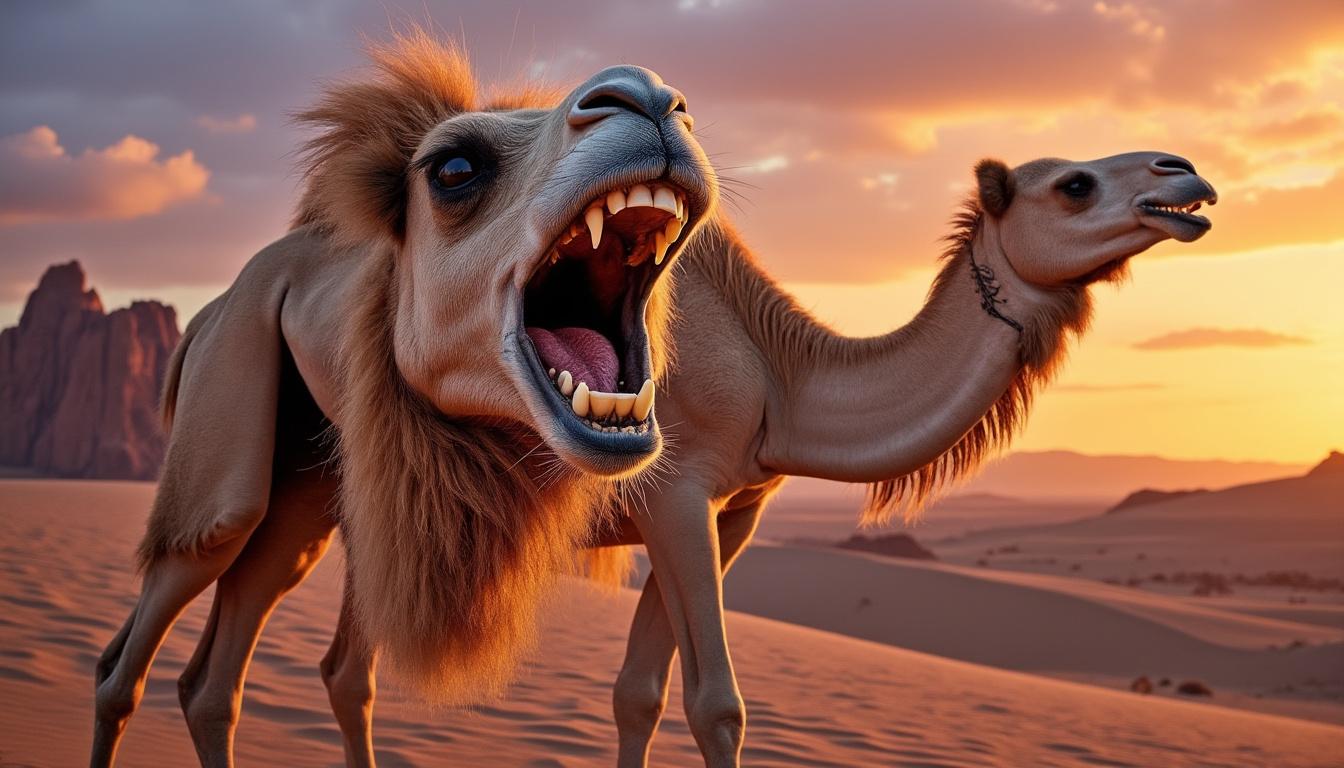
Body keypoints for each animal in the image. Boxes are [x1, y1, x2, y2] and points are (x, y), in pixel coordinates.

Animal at [88, 31, 717, 767]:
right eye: (454, 168)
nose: (649, 97)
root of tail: (207, 314)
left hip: (301, 486)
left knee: (211, 680)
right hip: (228, 413)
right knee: (146, 636)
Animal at [171, 148, 1217, 767]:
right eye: (1074, 184)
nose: (1189, 177)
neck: (779, 378)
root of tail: (219, 302)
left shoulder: (732, 511)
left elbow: (638, 692)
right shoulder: (675, 494)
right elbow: (717, 704)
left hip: (340, 487)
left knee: (309, 666)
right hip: (246, 413)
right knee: (198, 587)